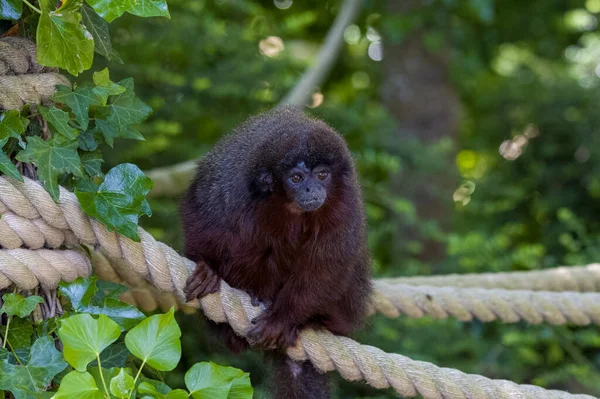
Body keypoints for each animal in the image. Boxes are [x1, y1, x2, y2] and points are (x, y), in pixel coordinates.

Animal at [180, 107, 372, 399]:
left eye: (322, 175)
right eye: (296, 178)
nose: (312, 189)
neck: (290, 206)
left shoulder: (345, 202)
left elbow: (327, 267)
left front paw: (282, 320)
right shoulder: (231, 187)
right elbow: (201, 213)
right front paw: (208, 268)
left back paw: (307, 321)